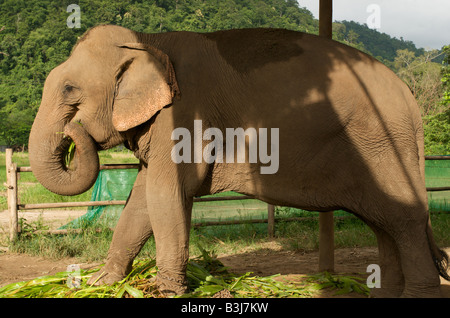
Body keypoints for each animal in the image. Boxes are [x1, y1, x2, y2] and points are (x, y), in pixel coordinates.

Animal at [29, 24, 450, 298]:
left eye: (69, 89)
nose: (73, 131)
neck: (149, 42)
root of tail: (411, 101)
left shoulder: (185, 114)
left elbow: (166, 194)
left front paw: (166, 291)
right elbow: (142, 200)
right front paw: (101, 283)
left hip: (381, 144)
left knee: (403, 219)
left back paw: (418, 294)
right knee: (384, 223)